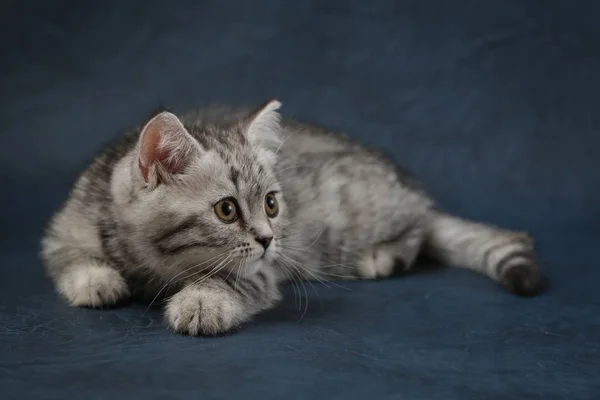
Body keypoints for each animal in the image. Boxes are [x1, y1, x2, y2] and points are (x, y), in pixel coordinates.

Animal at [42, 99, 544, 334]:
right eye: (226, 210)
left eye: (271, 204)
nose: (268, 239)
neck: (156, 263)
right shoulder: (64, 225)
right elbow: (69, 255)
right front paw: (96, 279)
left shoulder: (263, 271)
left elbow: (231, 281)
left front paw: (201, 301)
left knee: (420, 226)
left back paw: (382, 255)